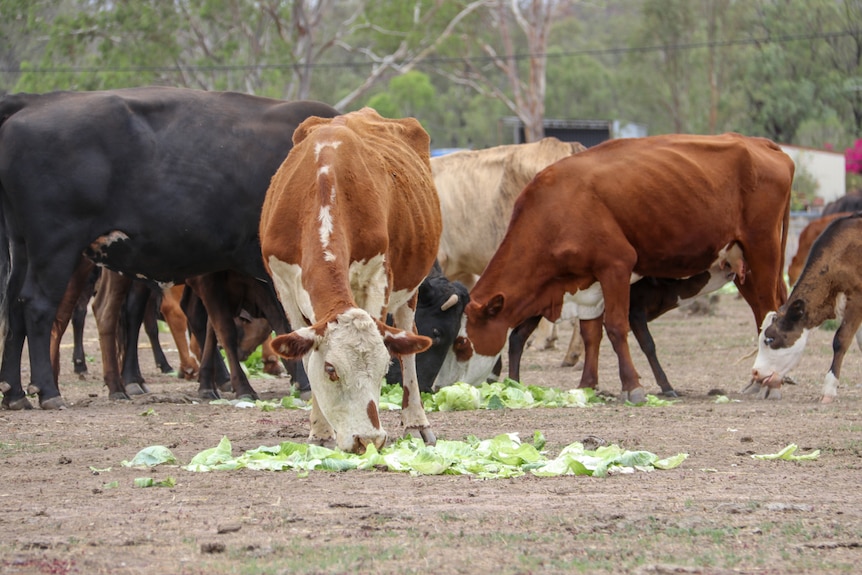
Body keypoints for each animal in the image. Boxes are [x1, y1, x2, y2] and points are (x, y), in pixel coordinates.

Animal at [0, 86, 338, 410]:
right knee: (40, 307)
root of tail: (33, 102)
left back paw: (15, 392)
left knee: (16, 307)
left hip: (24, 251)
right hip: (56, 252)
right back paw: (49, 390)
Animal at [260, 108, 442, 454]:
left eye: (384, 368)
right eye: (331, 369)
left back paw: (416, 421)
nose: (367, 439)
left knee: (409, 346)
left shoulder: (379, 276)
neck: (324, 181)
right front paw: (319, 430)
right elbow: (306, 357)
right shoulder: (283, 285)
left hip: (411, 288)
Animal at [462, 133, 792, 402]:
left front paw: (632, 386)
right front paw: (587, 384)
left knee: (769, 311)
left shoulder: (616, 267)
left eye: (461, 343)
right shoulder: (588, 282)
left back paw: (769, 382)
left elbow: (616, 327)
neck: (555, 209)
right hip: (742, 265)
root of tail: (761, 143)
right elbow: (591, 334)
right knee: (762, 313)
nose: (456, 384)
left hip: (763, 251)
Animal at [748, 213, 862, 404]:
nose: (755, 372)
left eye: (770, 338)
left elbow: (840, 340)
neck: (844, 254)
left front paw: (829, 389)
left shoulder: (856, 302)